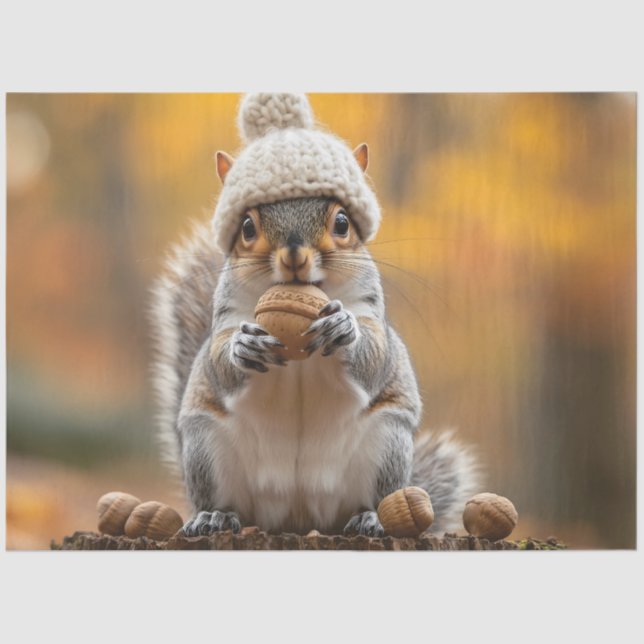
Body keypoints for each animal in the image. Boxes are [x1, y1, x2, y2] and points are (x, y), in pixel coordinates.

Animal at [150, 94, 480, 537]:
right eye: (247, 227)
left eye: (342, 222)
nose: (294, 255)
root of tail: (298, 515)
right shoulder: (228, 315)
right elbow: (219, 360)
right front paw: (243, 346)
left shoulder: (369, 309)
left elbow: (375, 355)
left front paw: (344, 330)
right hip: (206, 449)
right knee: (224, 502)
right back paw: (214, 516)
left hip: (387, 445)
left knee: (373, 498)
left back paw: (372, 517)